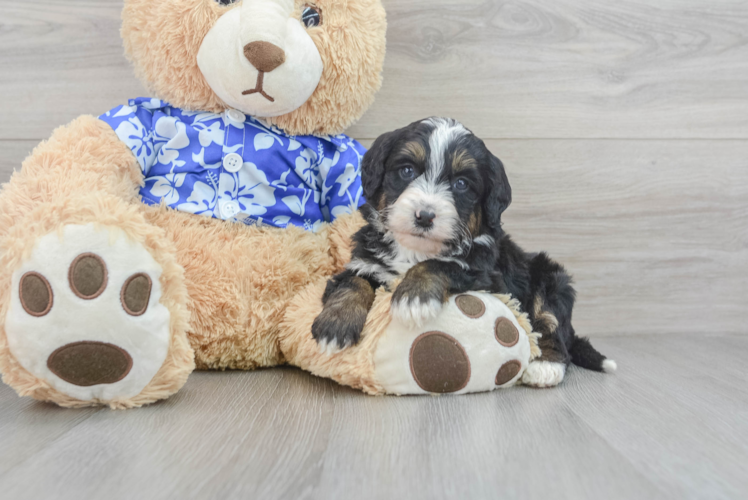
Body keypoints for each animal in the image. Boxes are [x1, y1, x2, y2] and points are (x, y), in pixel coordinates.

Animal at [312, 117, 616, 386]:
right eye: (407, 170)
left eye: (461, 184)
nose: (424, 216)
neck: (415, 250)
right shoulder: (367, 262)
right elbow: (352, 282)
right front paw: (335, 325)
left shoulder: (487, 277)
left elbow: (441, 264)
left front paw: (414, 298)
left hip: (551, 279)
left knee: (552, 326)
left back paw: (545, 367)